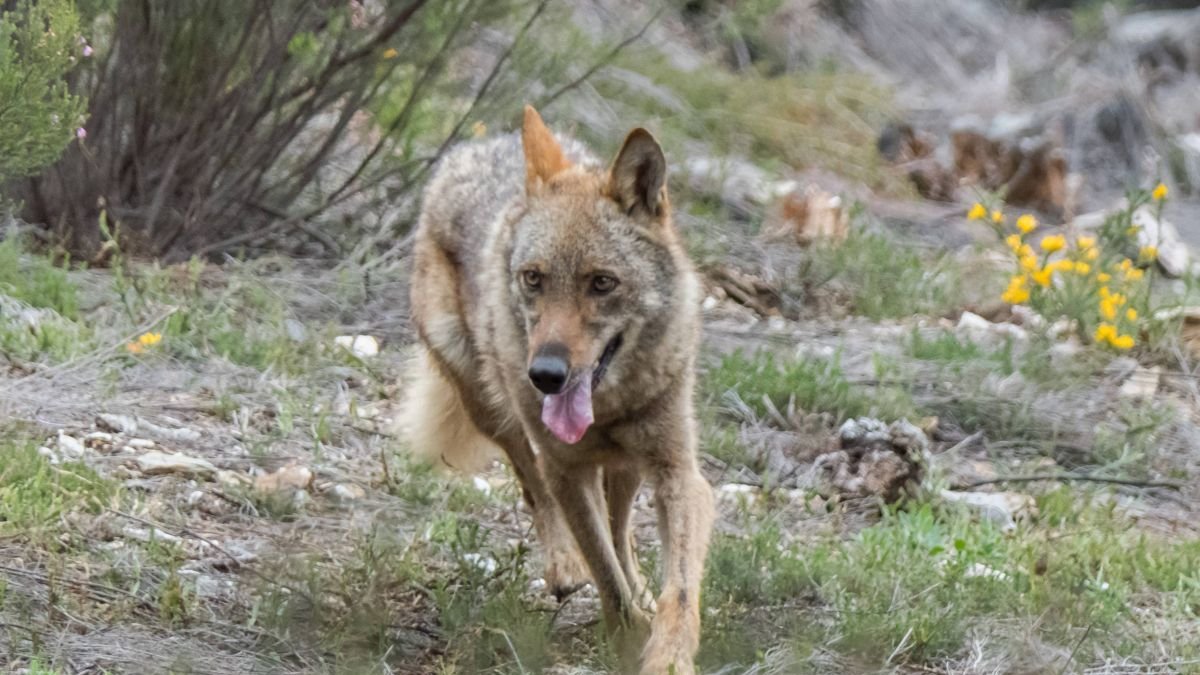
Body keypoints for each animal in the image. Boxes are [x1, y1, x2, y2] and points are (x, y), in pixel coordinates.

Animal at [402, 106, 714, 674]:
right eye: (534, 278)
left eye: (602, 283)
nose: (545, 374)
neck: (609, 407)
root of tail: (479, 147)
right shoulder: (566, 468)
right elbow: (605, 575)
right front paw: (626, 639)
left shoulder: (678, 473)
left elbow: (677, 588)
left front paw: (666, 654)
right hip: (493, 409)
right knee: (534, 486)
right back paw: (566, 567)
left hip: (627, 467)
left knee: (620, 530)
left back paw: (638, 588)